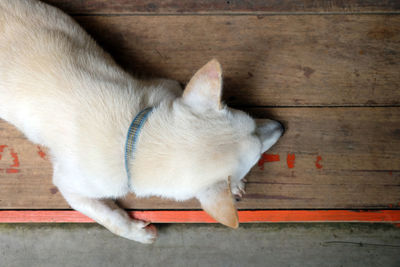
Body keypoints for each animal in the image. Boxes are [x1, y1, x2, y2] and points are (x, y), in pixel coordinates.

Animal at [0, 0, 282, 243]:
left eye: (254, 122)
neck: (137, 135)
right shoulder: (68, 185)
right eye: (258, 156)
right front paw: (137, 233)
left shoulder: (167, 88)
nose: (282, 126)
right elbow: (106, 217)